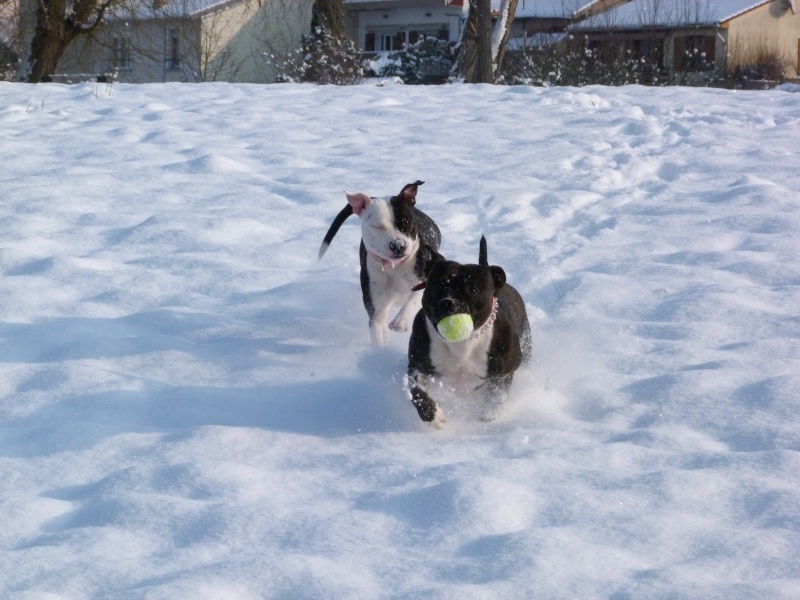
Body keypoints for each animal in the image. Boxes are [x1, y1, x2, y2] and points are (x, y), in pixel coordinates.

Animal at [320, 180, 444, 344]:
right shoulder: (375, 313)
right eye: (376, 226)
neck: (394, 266)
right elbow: (378, 331)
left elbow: (413, 300)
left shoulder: (423, 282)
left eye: (406, 221)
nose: (398, 245)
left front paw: (400, 321)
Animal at [406, 237, 532, 428]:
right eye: (436, 284)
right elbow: (417, 391)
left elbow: (496, 397)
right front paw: (432, 415)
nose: (448, 303)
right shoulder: (419, 365)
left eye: (473, 290)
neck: (462, 344)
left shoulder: (505, 373)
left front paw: (486, 416)